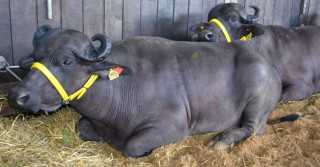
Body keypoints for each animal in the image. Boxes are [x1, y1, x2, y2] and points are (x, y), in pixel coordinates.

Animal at [7, 25, 298, 157]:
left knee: (251, 128)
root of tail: (267, 66)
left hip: (257, 102)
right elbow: (82, 128)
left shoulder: (174, 127)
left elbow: (131, 146)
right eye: (36, 57)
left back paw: (220, 140)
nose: (16, 96)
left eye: (66, 61)